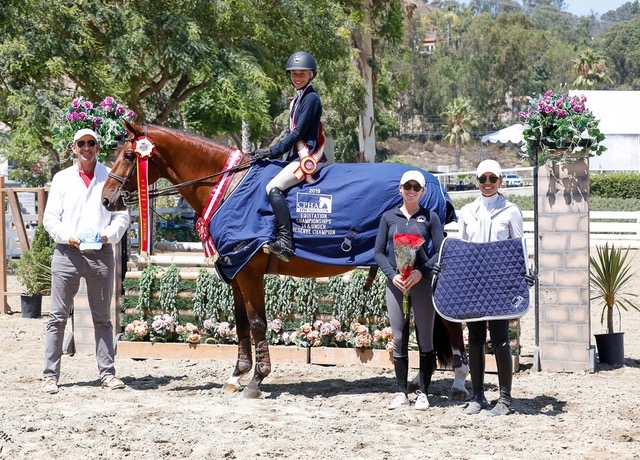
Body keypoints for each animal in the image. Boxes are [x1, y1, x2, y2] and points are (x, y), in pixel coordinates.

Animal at [102, 122, 468, 398]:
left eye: (128, 155)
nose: (107, 200)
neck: (228, 186)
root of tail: (436, 183)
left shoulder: (249, 269)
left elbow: (257, 323)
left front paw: (256, 380)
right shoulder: (236, 270)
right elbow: (241, 323)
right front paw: (236, 376)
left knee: (447, 320)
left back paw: (460, 383)